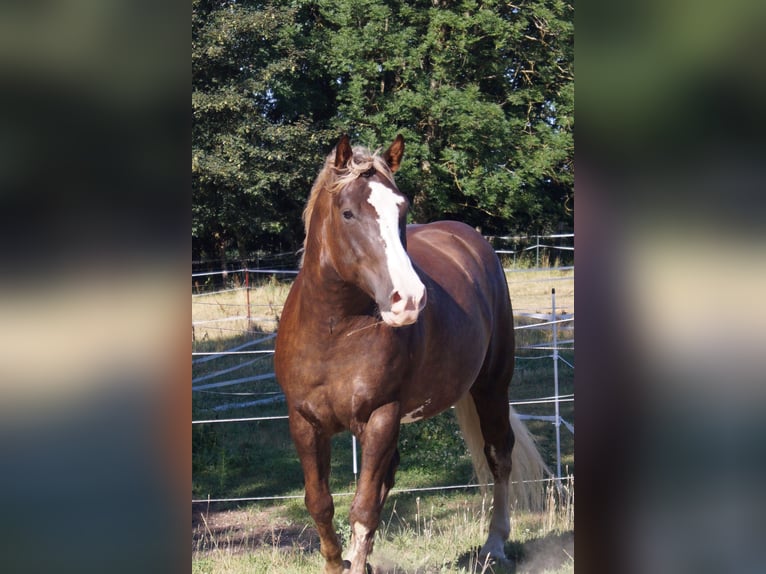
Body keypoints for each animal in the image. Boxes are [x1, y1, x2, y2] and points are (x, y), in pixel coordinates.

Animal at [274, 134, 548, 574]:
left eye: (401, 209)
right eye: (348, 213)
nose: (410, 299)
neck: (334, 332)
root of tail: (469, 239)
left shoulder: (381, 415)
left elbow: (363, 508)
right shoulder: (304, 421)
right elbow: (320, 504)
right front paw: (342, 562)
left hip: (491, 386)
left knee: (498, 455)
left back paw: (494, 544)